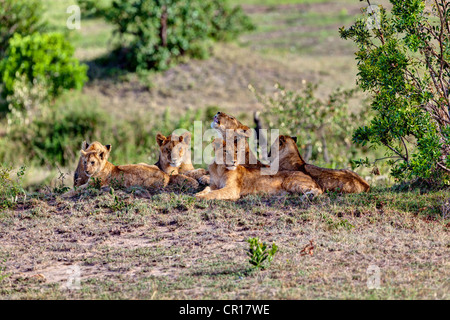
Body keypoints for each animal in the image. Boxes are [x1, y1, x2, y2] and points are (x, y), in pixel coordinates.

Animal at [194, 138, 324, 200]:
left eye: (236, 152)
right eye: (226, 151)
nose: (234, 161)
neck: (220, 169)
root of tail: (308, 175)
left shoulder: (232, 190)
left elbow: (215, 193)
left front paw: (201, 197)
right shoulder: (214, 185)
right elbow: (207, 188)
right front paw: (199, 193)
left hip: (290, 182)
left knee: (320, 190)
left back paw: (310, 195)